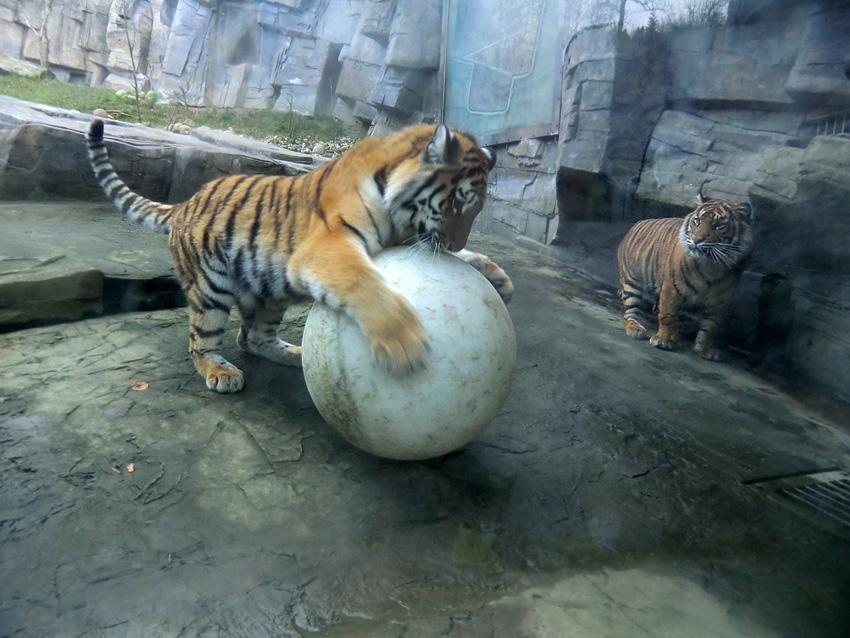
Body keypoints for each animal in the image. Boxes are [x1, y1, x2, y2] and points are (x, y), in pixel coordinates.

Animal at [86, 117, 512, 392]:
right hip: (211, 289)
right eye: (458, 203)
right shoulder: (327, 246)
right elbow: (365, 282)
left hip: (269, 294)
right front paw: (404, 345)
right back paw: (222, 373)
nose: (454, 243)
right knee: (201, 341)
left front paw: (495, 275)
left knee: (252, 337)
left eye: (475, 210)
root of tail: (182, 205)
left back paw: (296, 355)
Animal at [612, 198, 752, 362]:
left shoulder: (721, 301)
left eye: (719, 226)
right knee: (630, 310)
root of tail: (636, 223)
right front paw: (664, 340)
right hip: (632, 281)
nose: (696, 240)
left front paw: (705, 351)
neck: (711, 265)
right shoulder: (672, 288)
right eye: (697, 221)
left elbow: (711, 327)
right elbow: (669, 315)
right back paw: (635, 329)